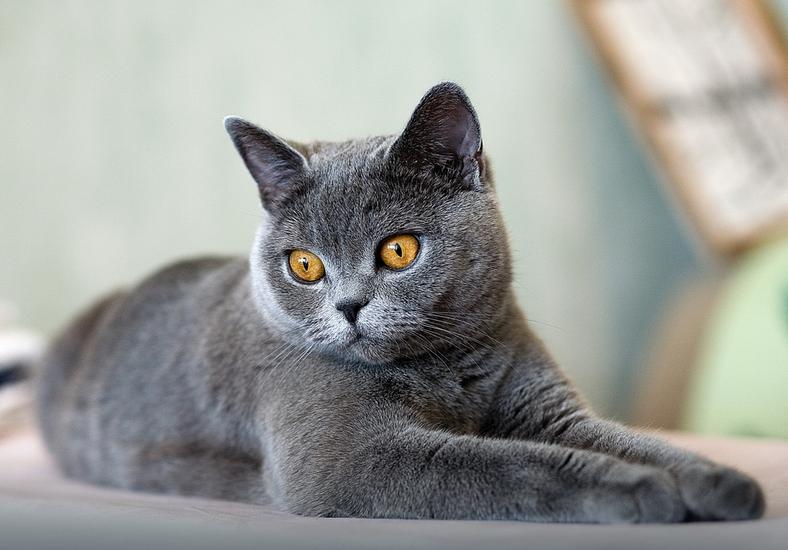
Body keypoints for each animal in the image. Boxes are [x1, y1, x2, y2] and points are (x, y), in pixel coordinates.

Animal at [35, 83, 764, 528]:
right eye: (304, 265)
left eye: (398, 250)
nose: (350, 306)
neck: (451, 368)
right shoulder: (346, 457)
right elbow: (504, 464)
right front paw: (640, 490)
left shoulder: (549, 410)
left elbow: (636, 441)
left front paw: (719, 483)